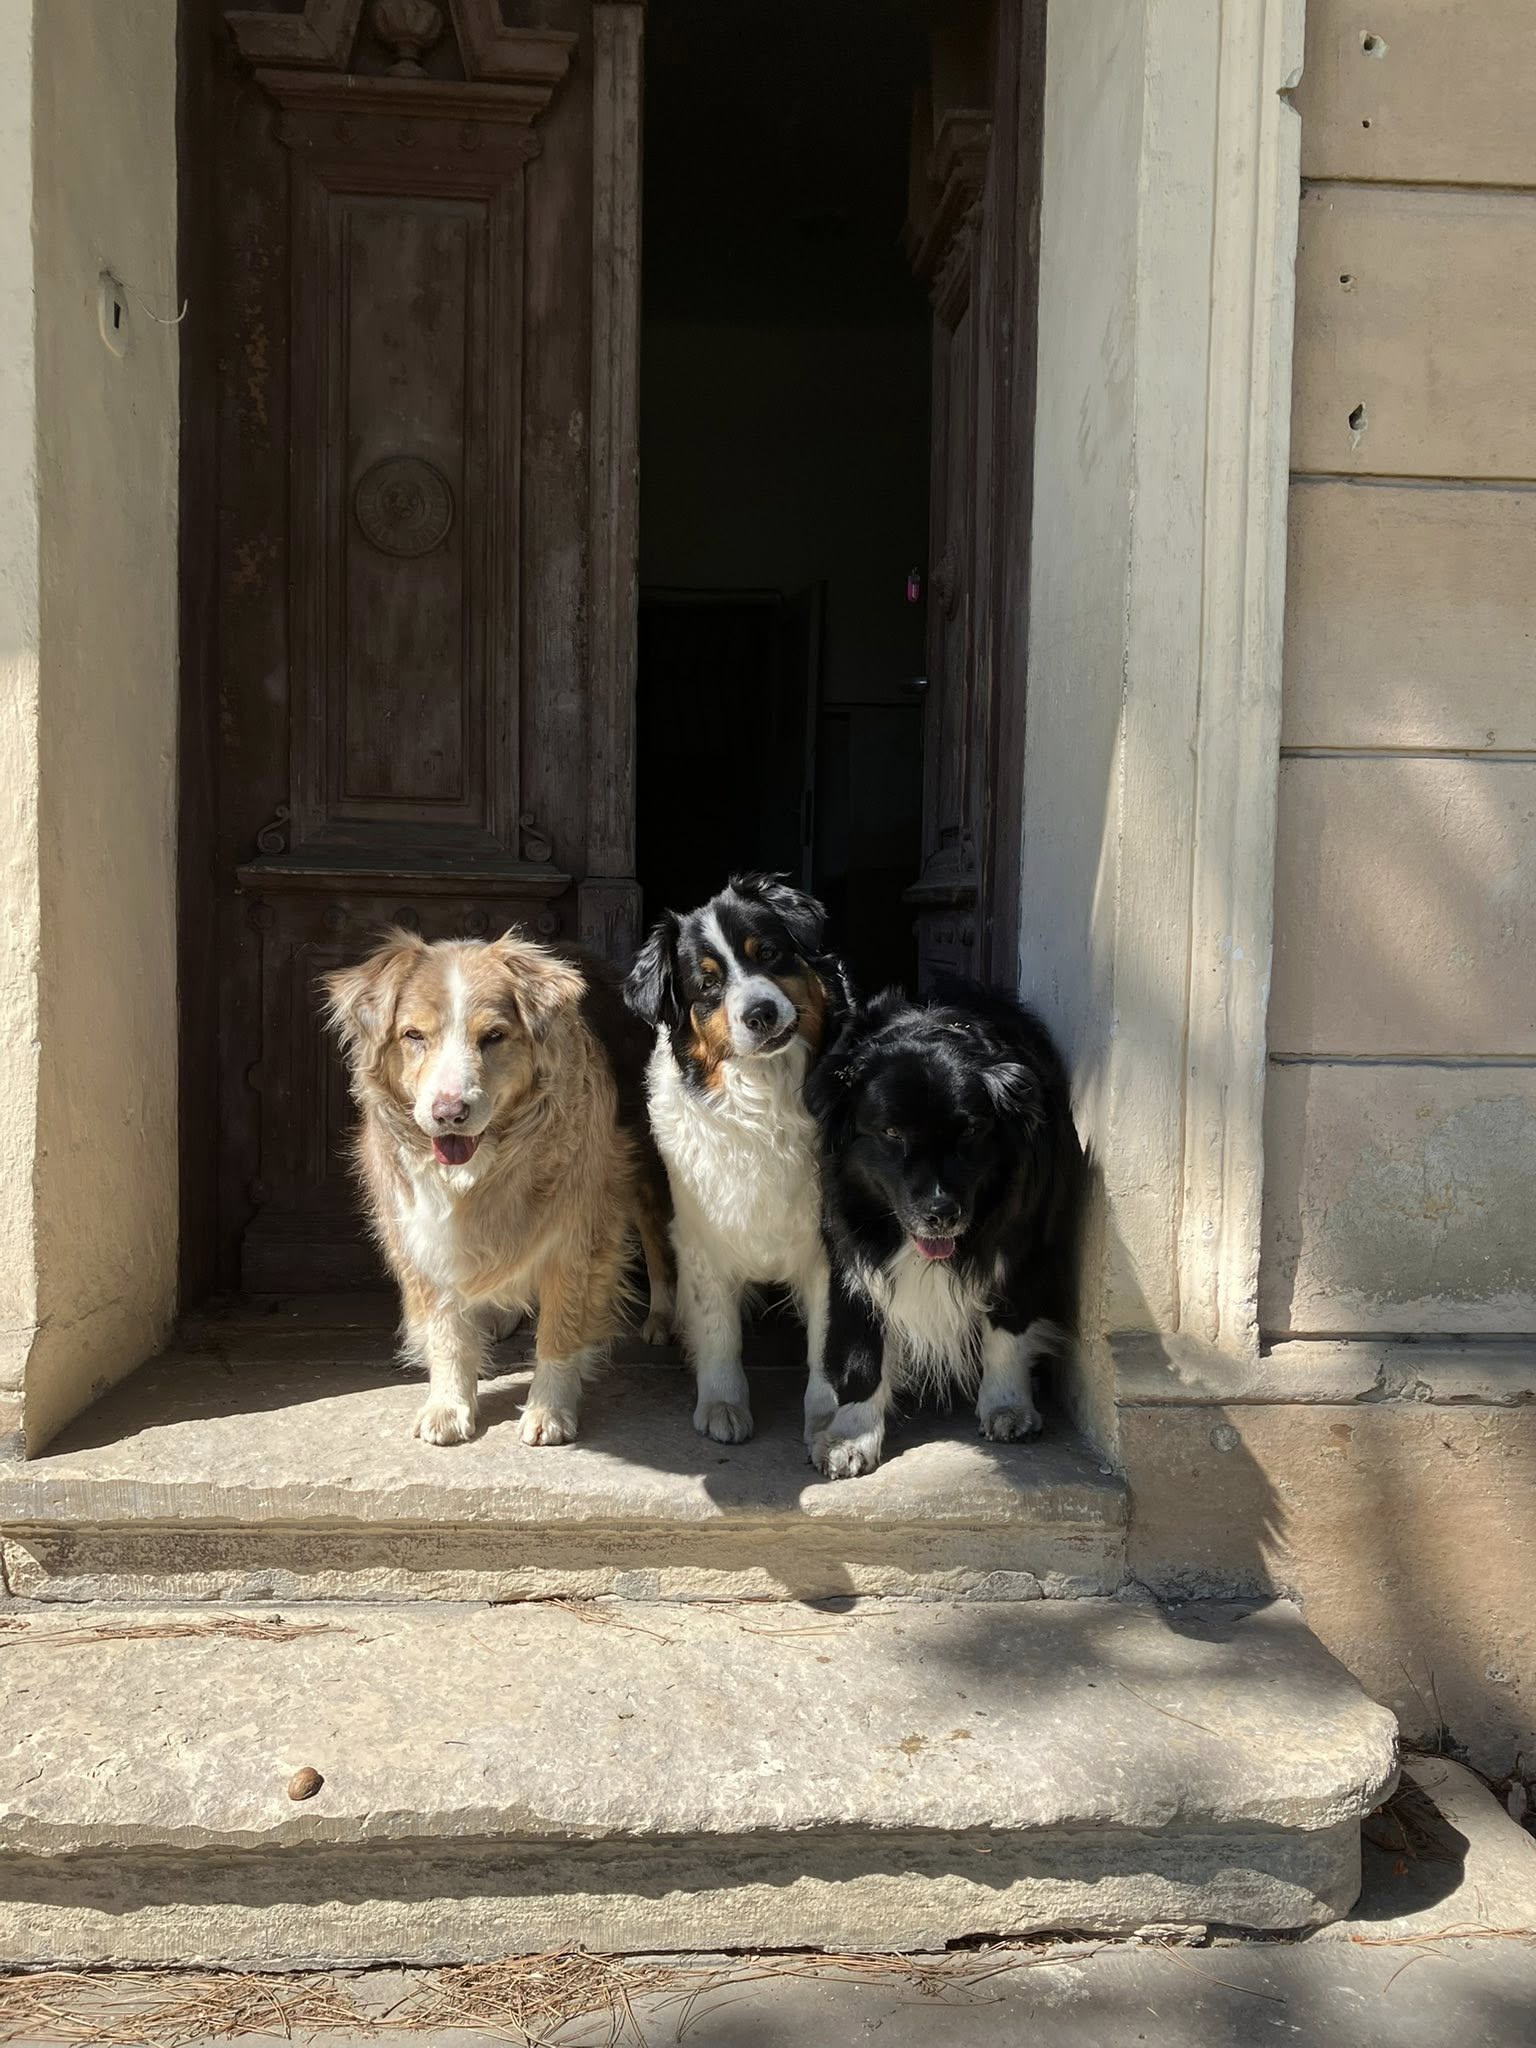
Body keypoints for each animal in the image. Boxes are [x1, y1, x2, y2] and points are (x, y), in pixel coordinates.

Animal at [324, 929, 673, 1448]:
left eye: (493, 1037)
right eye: (413, 1036)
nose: (449, 1113)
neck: (480, 1168)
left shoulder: (580, 1227)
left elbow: (561, 1326)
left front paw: (549, 1410)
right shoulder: (420, 1231)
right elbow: (446, 1329)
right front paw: (449, 1404)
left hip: (643, 1161)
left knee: (655, 1234)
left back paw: (665, 1315)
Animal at [624, 873, 851, 1444]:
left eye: (768, 953)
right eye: (706, 985)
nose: (760, 1014)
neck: (764, 1101)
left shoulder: (825, 1241)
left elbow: (825, 1342)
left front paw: (822, 1416)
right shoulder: (702, 1236)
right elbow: (717, 1328)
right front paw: (723, 1403)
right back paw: (662, 1318)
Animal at [805, 984, 1084, 1478]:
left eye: (971, 1131)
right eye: (891, 1132)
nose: (941, 1212)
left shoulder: (1022, 1240)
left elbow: (1008, 1327)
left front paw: (1007, 1407)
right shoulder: (851, 1246)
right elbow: (861, 1347)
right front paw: (849, 1436)